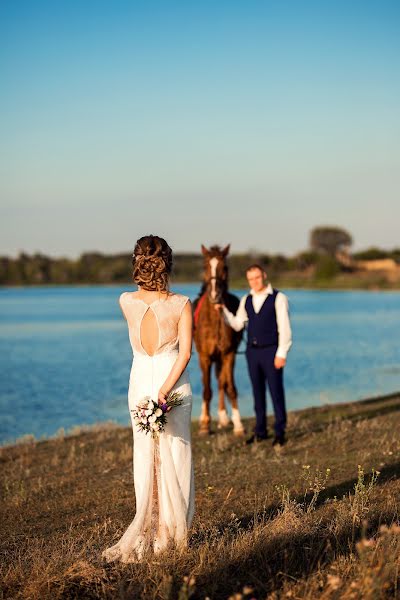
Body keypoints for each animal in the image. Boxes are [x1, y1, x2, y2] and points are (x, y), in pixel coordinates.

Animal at [193, 244, 245, 436]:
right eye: (205, 266)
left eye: (225, 267)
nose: (215, 295)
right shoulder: (205, 357)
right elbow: (206, 390)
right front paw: (204, 425)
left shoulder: (229, 354)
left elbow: (230, 387)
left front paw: (238, 424)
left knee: (222, 382)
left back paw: (224, 418)